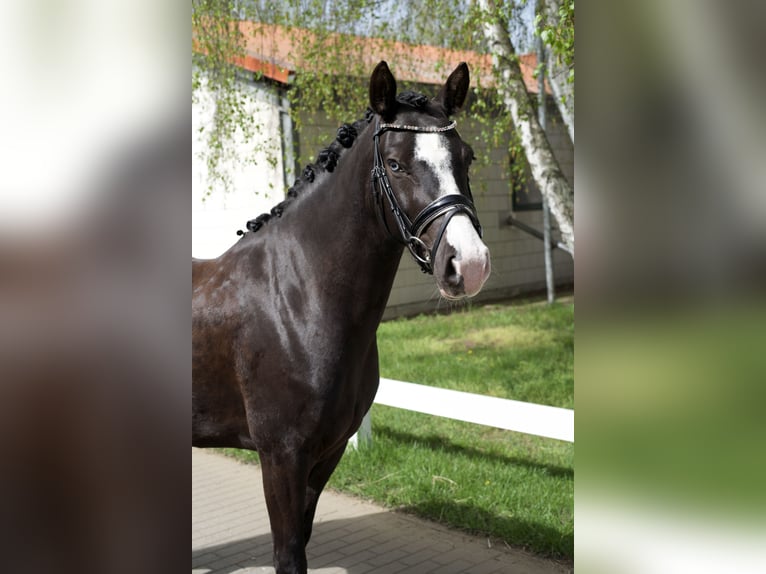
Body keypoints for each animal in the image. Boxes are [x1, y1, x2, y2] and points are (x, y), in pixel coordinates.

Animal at [192, 62, 492, 574]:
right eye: (395, 163)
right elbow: (288, 554)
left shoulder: (326, 453)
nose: (468, 264)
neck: (298, 300)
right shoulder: (281, 457)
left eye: (466, 158)